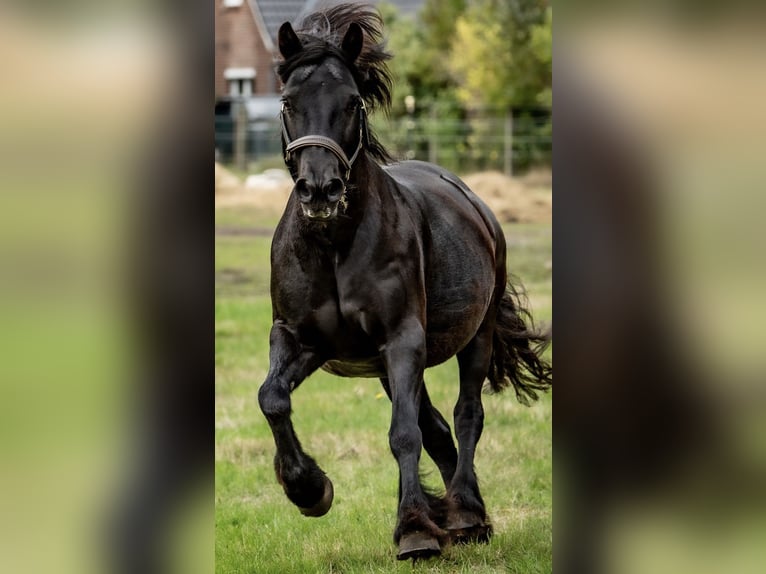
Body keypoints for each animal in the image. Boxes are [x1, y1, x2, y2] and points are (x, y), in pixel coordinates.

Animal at [257, 3, 552, 561]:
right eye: (287, 102)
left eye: (352, 102)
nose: (321, 189)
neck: (335, 245)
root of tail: (474, 203)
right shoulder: (300, 339)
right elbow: (273, 398)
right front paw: (310, 489)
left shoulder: (402, 340)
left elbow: (404, 434)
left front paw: (415, 529)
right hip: (383, 365)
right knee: (434, 425)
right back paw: (463, 516)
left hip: (473, 338)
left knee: (465, 415)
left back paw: (463, 513)